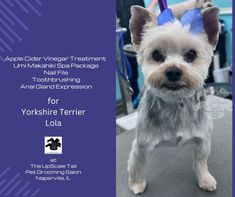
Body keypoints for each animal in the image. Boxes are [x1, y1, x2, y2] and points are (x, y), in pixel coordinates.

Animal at [127, 0, 219, 194]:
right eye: (156, 55)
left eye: (191, 54)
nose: (173, 71)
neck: (176, 103)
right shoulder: (141, 144)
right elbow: (136, 165)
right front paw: (137, 183)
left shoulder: (203, 139)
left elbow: (201, 162)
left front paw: (205, 179)